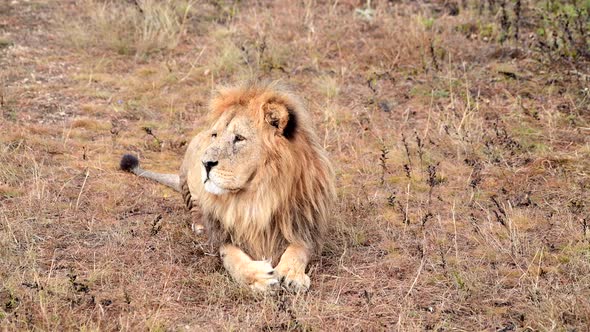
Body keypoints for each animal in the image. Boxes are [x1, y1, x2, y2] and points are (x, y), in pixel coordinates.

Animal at [119, 81, 338, 292]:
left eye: (239, 138)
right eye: (215, 135)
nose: (205, 163)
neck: (258, 196)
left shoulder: (305, 226)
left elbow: (298, 250)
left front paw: (292, 275)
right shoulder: (222, 236)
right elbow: (231, 257)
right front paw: (258, 278)